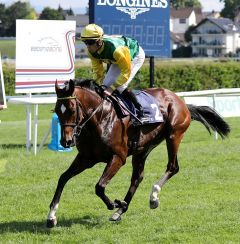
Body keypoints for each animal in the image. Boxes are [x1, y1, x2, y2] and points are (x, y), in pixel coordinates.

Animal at [46, 79, 229, 228]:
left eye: (71, 109)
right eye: (56, 110)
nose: (66, 141)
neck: (100, 118)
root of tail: (179, 100)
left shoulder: (118, 157)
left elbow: (99, 187)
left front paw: (114, 204)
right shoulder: (86, 158)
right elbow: (63, 178)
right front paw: (51, 217)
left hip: (174, 135)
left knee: (172, 167)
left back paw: (152, 197)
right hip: (143, 148)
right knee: (137, 178)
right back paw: (121, 210)